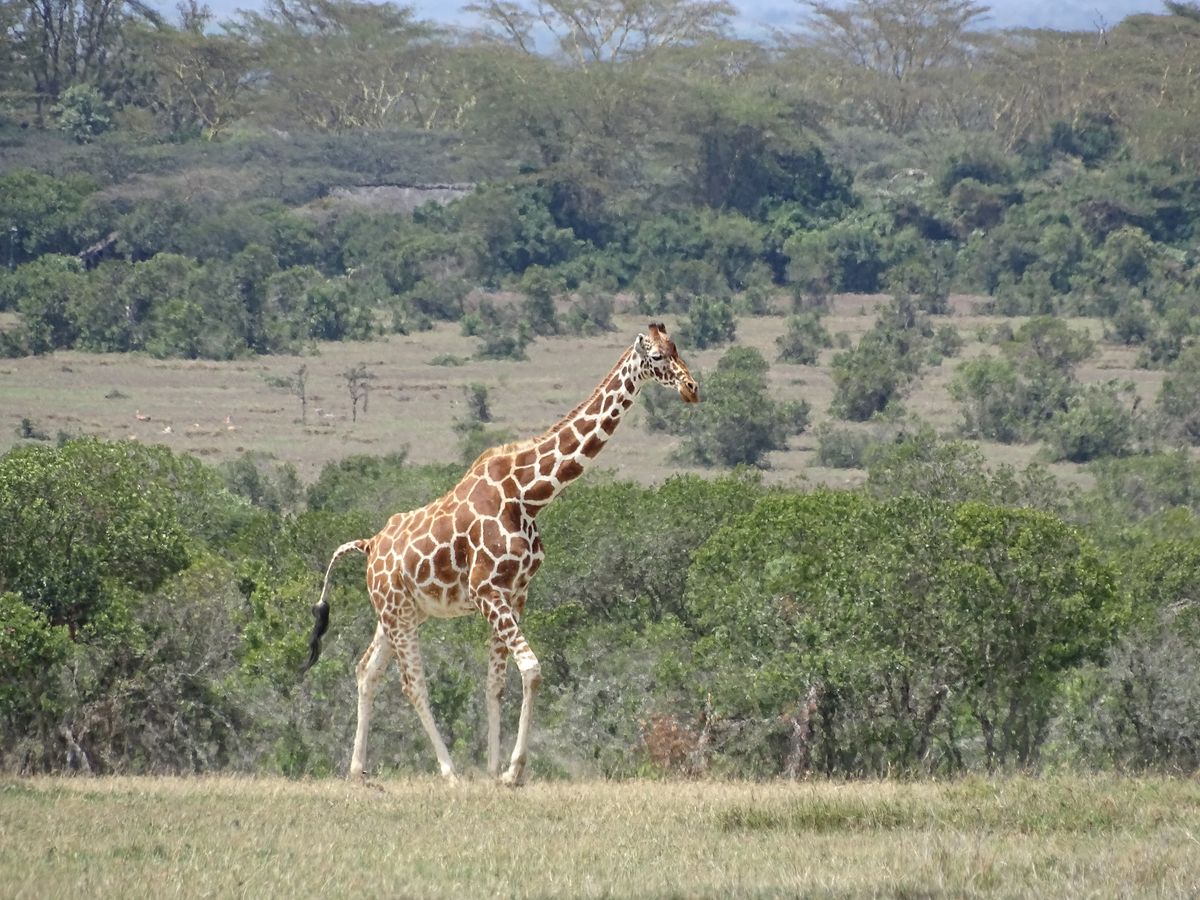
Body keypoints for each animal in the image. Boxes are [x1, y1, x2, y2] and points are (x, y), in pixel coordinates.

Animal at [303, 323, 699, 786]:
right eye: (655, 357)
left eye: (677, 348)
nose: (691, 388)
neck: (529, 494)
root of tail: (368, 545)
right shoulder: (485, 590)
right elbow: (531, 670)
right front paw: (513, 771)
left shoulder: (514, 592)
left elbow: (496, 683)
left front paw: (494, 770)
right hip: (397, 613)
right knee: (412, 684)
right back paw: (449, 772)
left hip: (399, 613)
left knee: (367, 671)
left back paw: (358, 772)